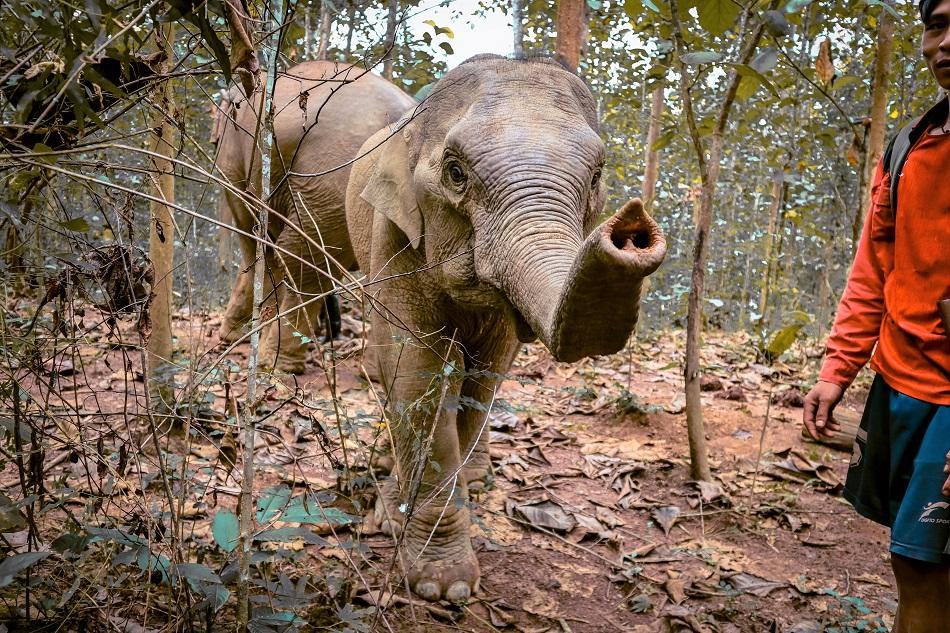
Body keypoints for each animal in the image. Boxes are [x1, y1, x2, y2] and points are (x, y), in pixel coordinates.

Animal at [345, 54, 667, 602]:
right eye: (455, 173)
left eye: (597, 175)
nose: (631, 230)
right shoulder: (395, 235)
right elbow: (416, 372)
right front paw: (442, 586)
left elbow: (486, 372)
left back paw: (472, 480)